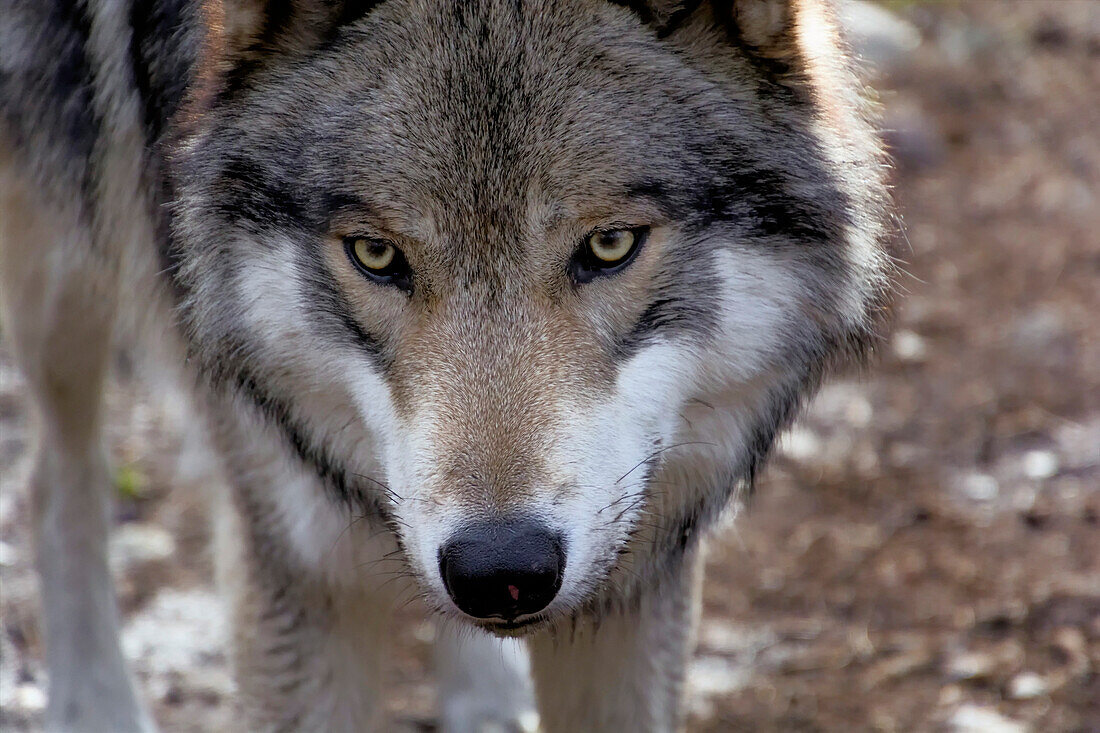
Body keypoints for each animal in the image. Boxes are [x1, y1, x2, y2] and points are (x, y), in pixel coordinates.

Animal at [0, 0, 893, 726]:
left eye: (610, 244)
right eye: (376, 254)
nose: (500, 569)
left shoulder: (637, 574)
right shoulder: (299, 568)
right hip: (65, 265)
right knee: (56, 470)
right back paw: (91, 707)